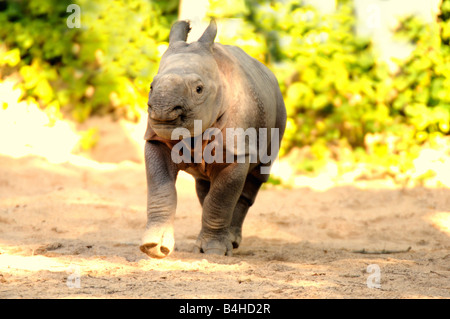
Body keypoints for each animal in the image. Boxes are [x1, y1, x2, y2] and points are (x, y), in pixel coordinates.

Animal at [140, 20, 284, 258]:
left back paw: (231, 242)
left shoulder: (237, 151)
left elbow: (221, 198)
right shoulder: (156, 140)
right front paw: (153, 247)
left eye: (199, 90)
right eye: (151, 86)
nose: (162, 110)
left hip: (278, 111)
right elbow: (162, 189)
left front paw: (215, 251)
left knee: (256, 176)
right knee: (204, 186)